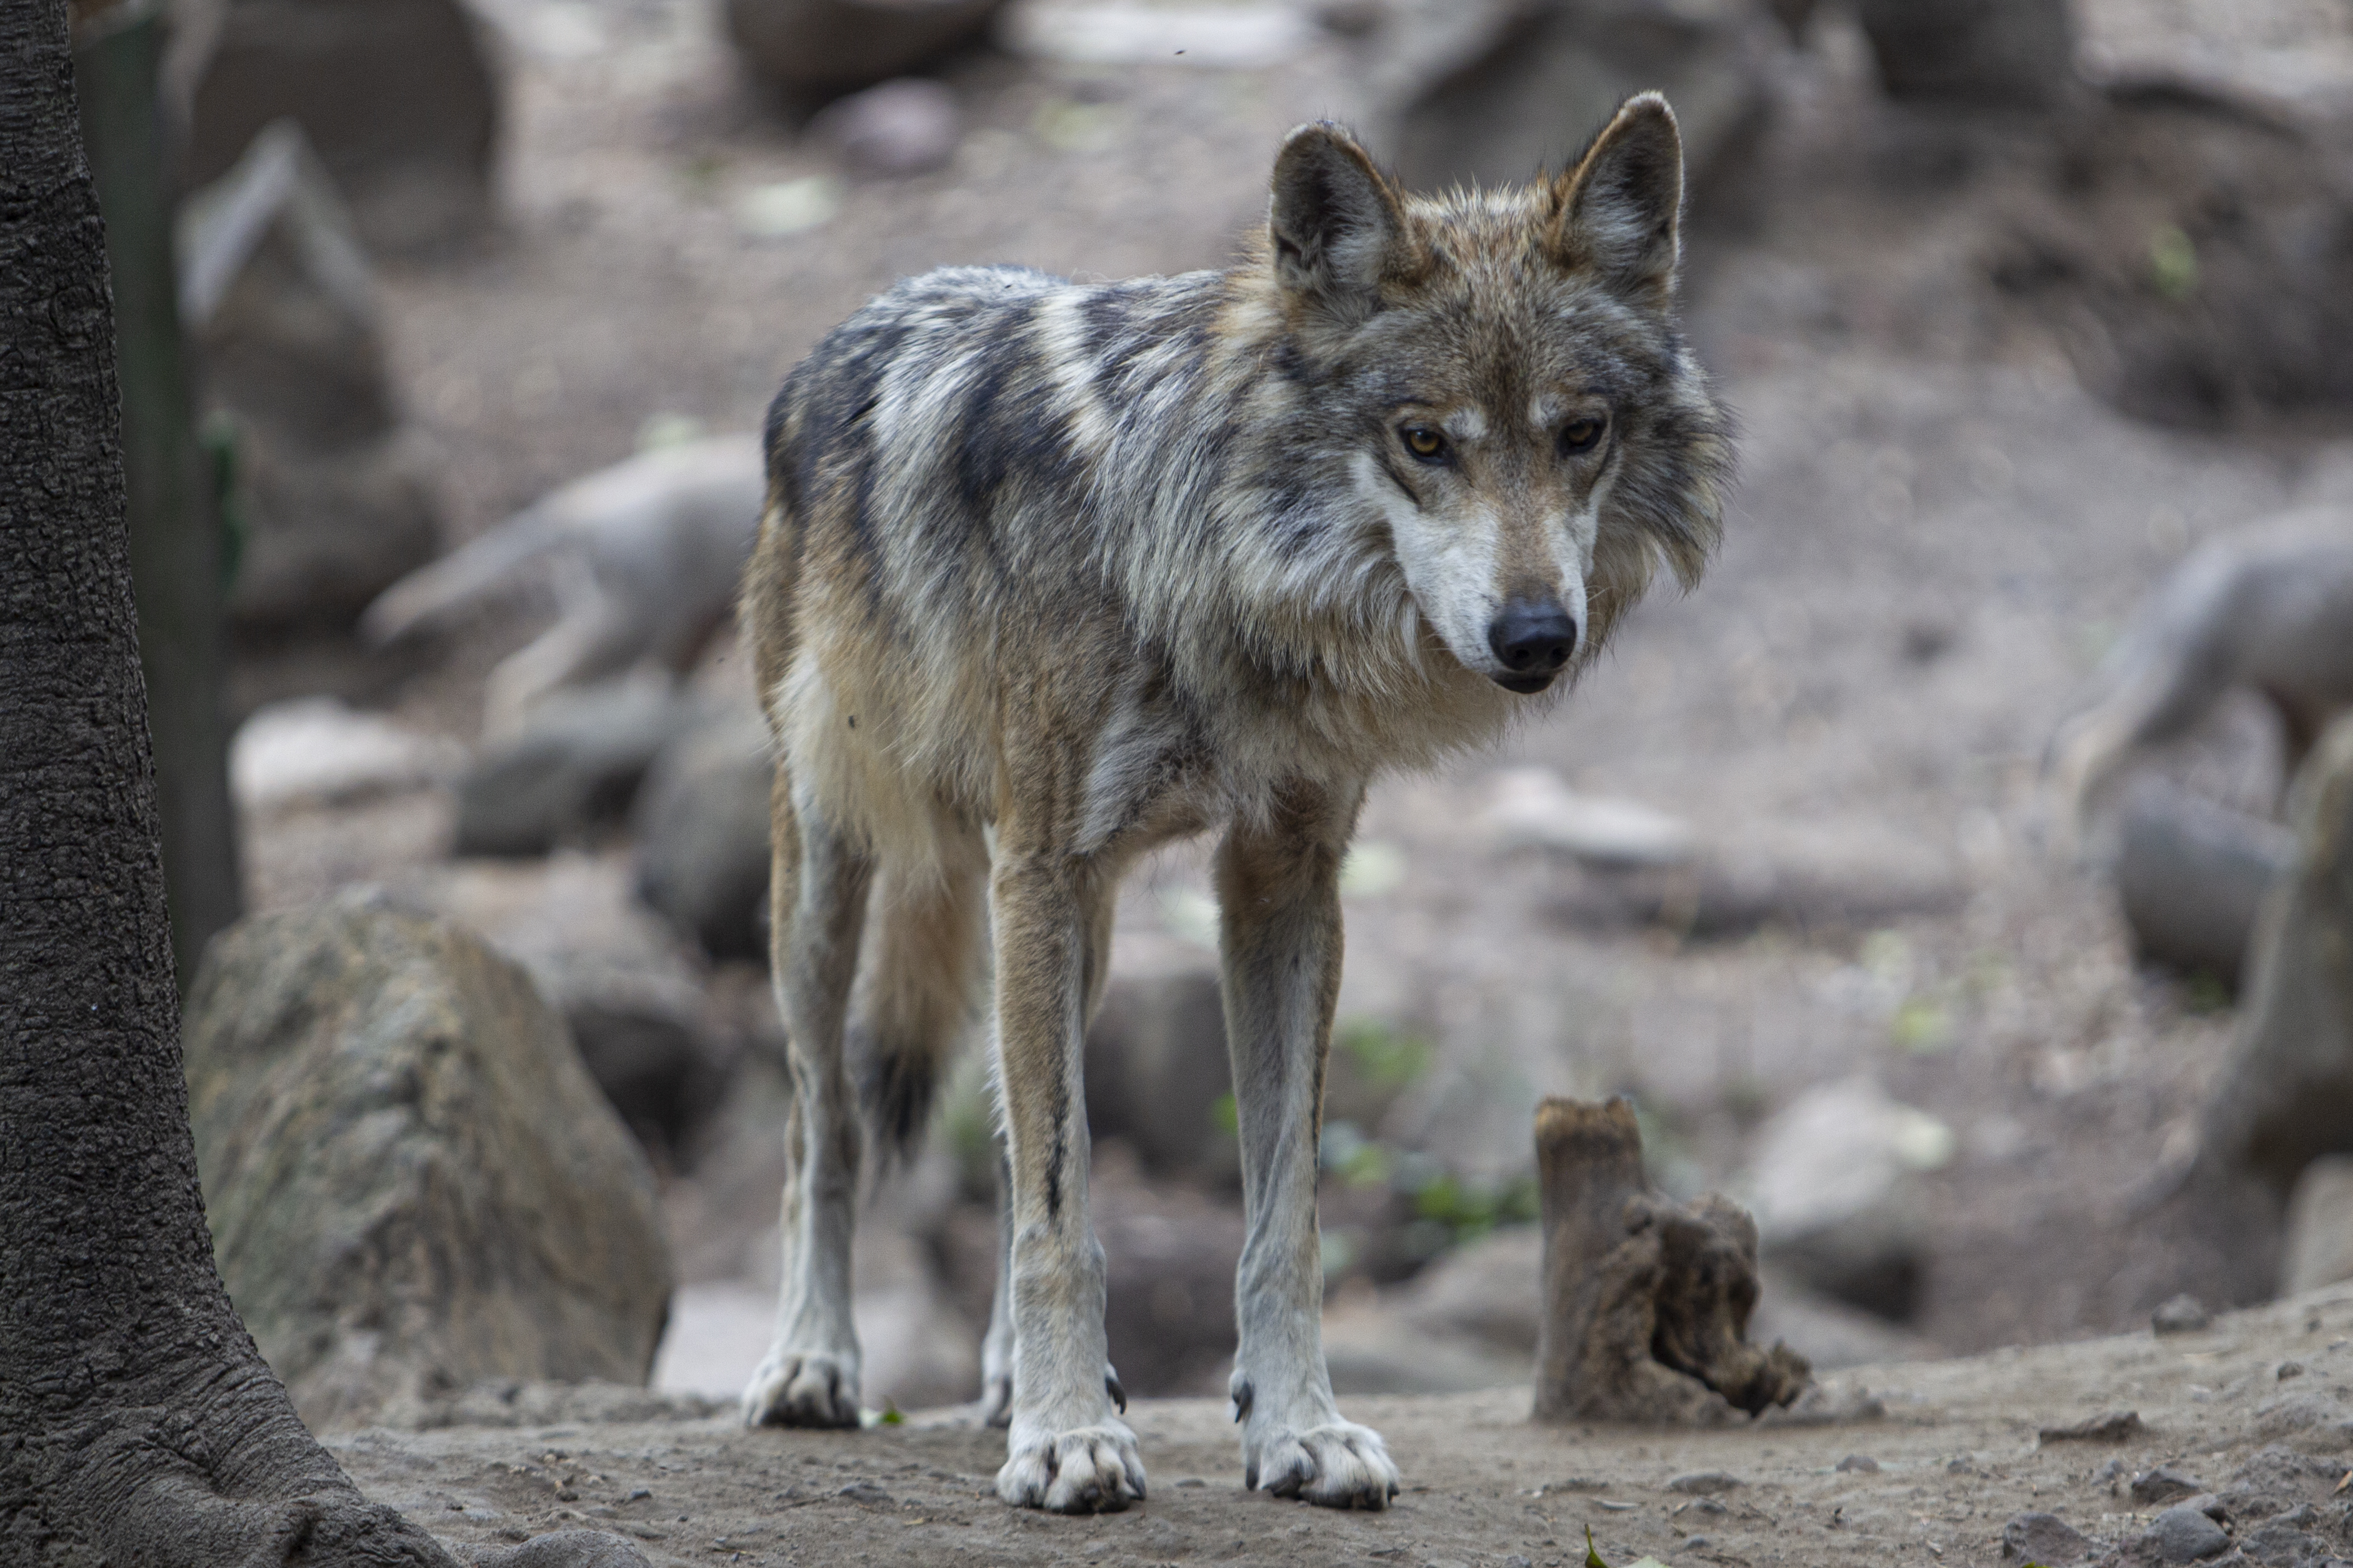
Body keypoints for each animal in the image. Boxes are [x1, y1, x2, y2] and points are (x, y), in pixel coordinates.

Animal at [734, 95, 1732, 1506]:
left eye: (1579, 434)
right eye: (1425, 440)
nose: (1537, 635)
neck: (1214, 561)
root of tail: (864, 316)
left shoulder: (1278, 878)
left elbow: (1277, 1209)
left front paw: (1296, 1426)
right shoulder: (1039, 865)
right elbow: (1061, 1208)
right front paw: (1069, 1437)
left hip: (1074, 932)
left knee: (1003, 1131)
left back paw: (1004, 1382)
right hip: (837, 878)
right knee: (821, 1126)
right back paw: (815, 1363)